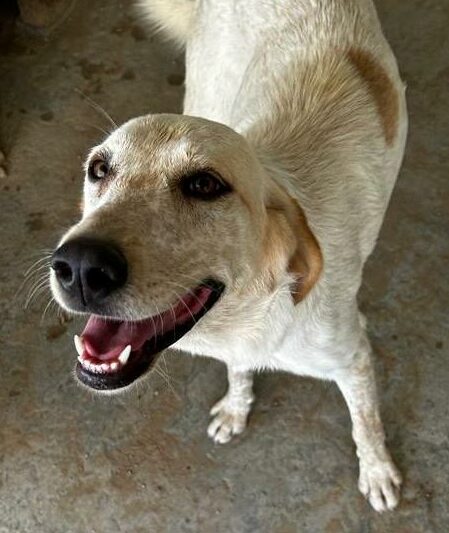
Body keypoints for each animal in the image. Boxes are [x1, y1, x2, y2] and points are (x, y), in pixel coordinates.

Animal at [49, 0, 407, 512]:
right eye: (99, 169)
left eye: (204, 184)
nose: (79, 267)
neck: (250, 314)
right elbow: (238, 372)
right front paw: (237, 408)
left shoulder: (353, 355)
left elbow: (366, 423)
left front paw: (377, 471)